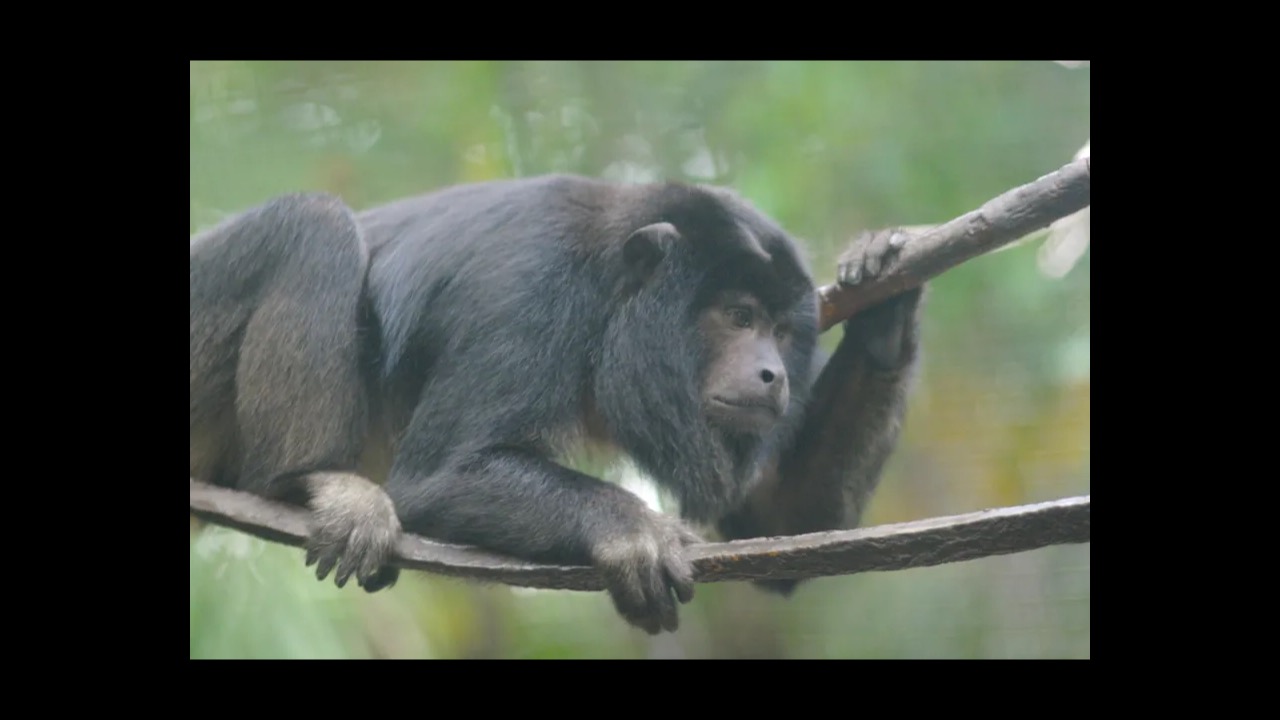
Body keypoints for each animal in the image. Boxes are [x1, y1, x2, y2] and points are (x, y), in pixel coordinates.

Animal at [189, 175, 923, 634]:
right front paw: (634, 529)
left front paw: (886, 301)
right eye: (739, 316)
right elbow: (439, 476)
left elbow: (779, 519)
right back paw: (314, 482)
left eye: (782, 331)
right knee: (312, 225)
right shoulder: (530, 286)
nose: (774, 375)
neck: (612, 290)